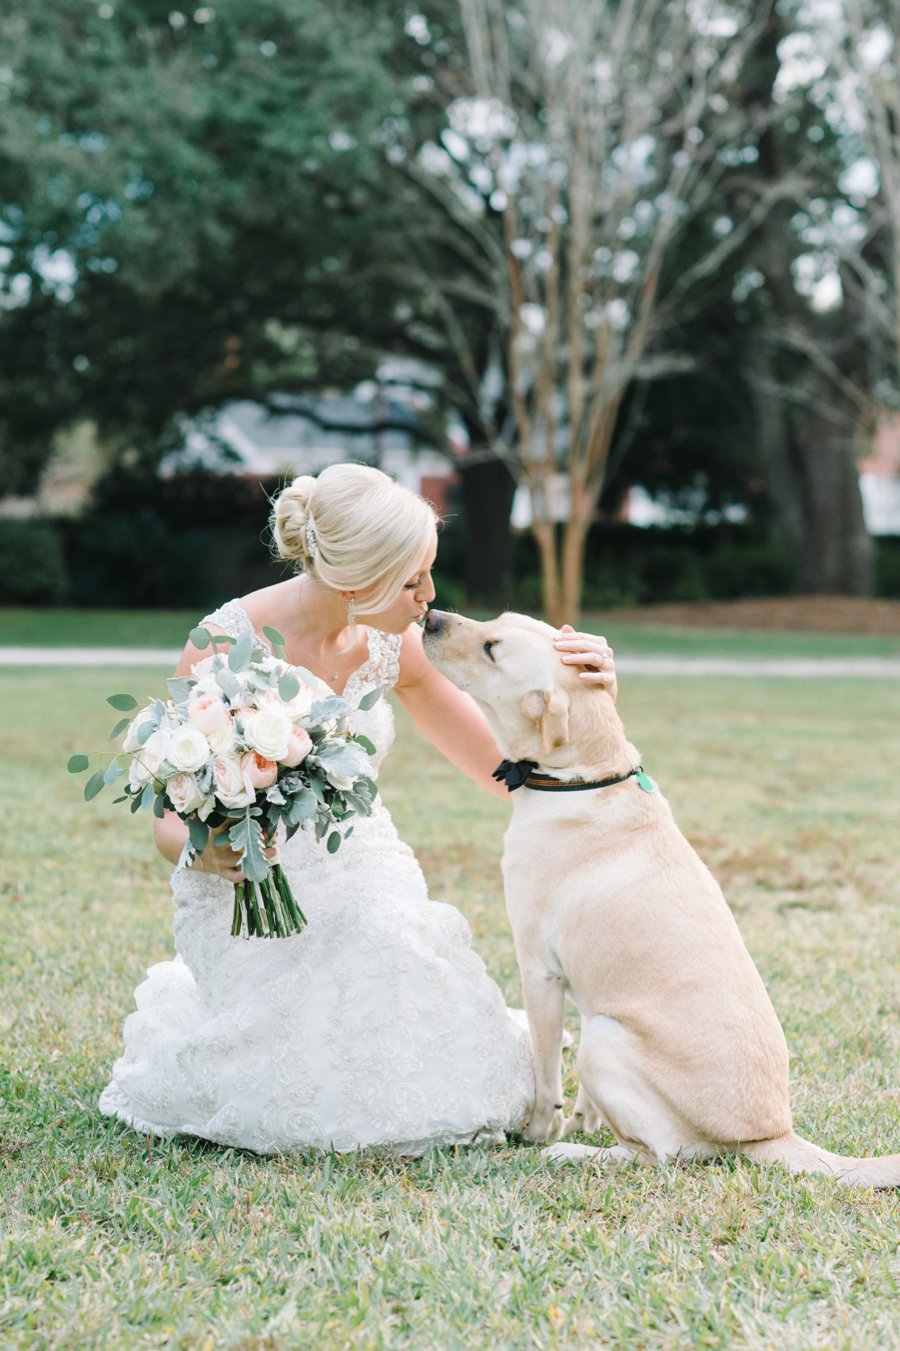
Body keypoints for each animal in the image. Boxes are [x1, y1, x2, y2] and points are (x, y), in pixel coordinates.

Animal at [424, 607, 897, 1188]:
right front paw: (581, 1119)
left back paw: (574, 1153)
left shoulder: (539, 970)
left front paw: (538, 1131)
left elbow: (545, 1070)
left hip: (604, 1038)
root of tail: (771, 1134)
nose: (430, 616)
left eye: (492, 648)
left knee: (659, 1155)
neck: (581, 777)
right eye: (498, 619)